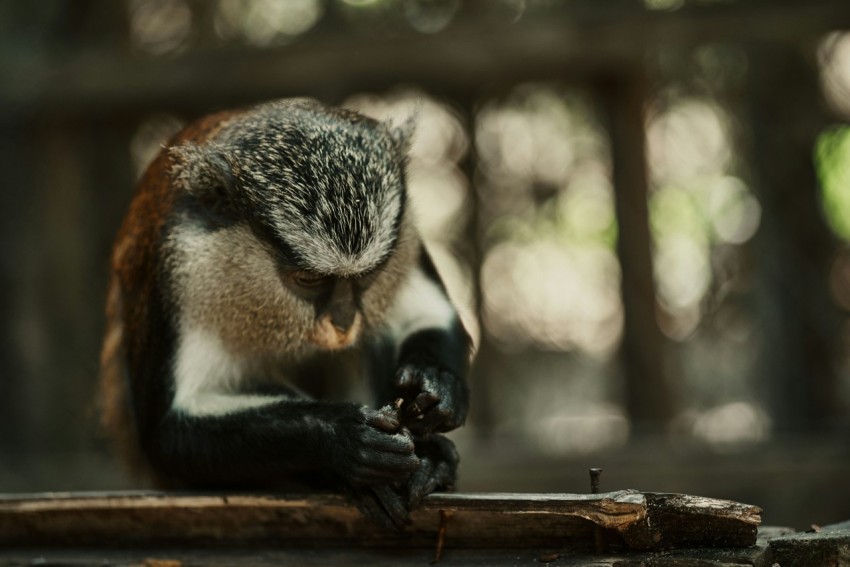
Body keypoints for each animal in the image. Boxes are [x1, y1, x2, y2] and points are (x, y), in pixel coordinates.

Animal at [101, 97, 470, 528]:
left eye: (366, 277)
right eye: (308, 279)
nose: (342, 323)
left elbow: (430, 316)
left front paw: (437, 385)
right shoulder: (177, 269)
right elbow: (170, 432)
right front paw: (344, 438)